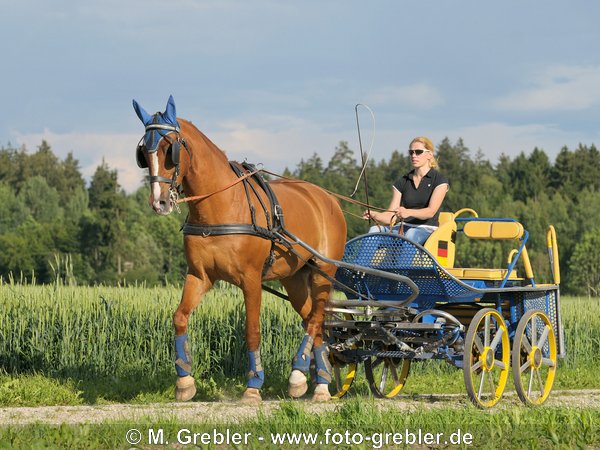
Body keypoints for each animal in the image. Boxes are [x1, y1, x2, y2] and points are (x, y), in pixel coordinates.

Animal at [131, 96, 346, 404]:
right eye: (144, 153)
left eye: (169, 148)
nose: (159, 202)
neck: (220, 205)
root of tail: (326, 198)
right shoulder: (199, 276)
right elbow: (180, 317)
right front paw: (184, 381)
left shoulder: (251, 280)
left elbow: (252, 330)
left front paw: (253, 385)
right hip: (294, 278)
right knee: (312, 320)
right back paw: (318, 383)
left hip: (323, 272)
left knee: (316, 319)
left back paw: (299, 374)